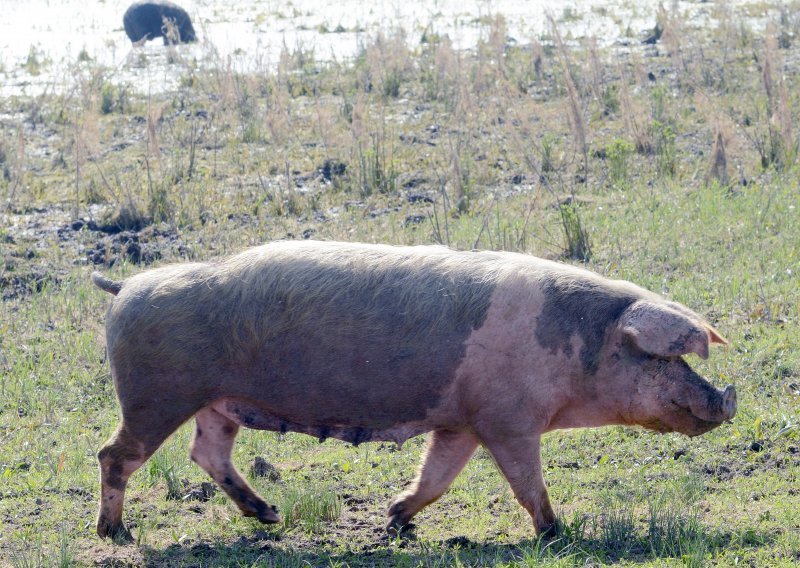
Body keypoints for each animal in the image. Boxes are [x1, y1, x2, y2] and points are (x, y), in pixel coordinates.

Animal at [90, 241, 736, 540]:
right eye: (666, 358)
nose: (728, 399)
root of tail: (125, 287)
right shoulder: (507, 421)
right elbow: (527, 484)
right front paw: (557, 534)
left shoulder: (462, 421)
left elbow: (437, 476)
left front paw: (395, 520)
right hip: (154, 397)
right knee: (115, 454)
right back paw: (117, 534)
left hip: (214, 403)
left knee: (207, 451)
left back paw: (270, 516)